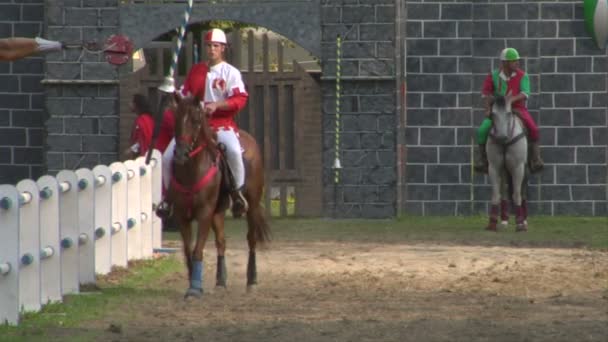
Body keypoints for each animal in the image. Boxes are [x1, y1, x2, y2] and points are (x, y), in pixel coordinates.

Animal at [167, 94, 270, 300]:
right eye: (176, 119)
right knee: (221, 242)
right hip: (218, 211)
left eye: (196, 120)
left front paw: (194, 288)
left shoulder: (204, 213)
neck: (192, 171)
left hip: (252, 205)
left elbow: (198, 250)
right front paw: (193, 283)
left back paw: (252, 281)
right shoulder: (182, 216)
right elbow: (188, 251)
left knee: (251, 239)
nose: (180, 154)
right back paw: (221, 281)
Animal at [484, 95, 528, 231]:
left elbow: (517, 194)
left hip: (525, 168)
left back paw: (524, 220)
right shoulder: (493, 167)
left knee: (522, 191)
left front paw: (520, 224)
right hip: (504, 170)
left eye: (508, 114)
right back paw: (504, 220)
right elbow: (496, 194)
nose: (502, 137)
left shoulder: (518, 167)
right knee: (504, 190)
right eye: (493, 114)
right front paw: (492, 223)